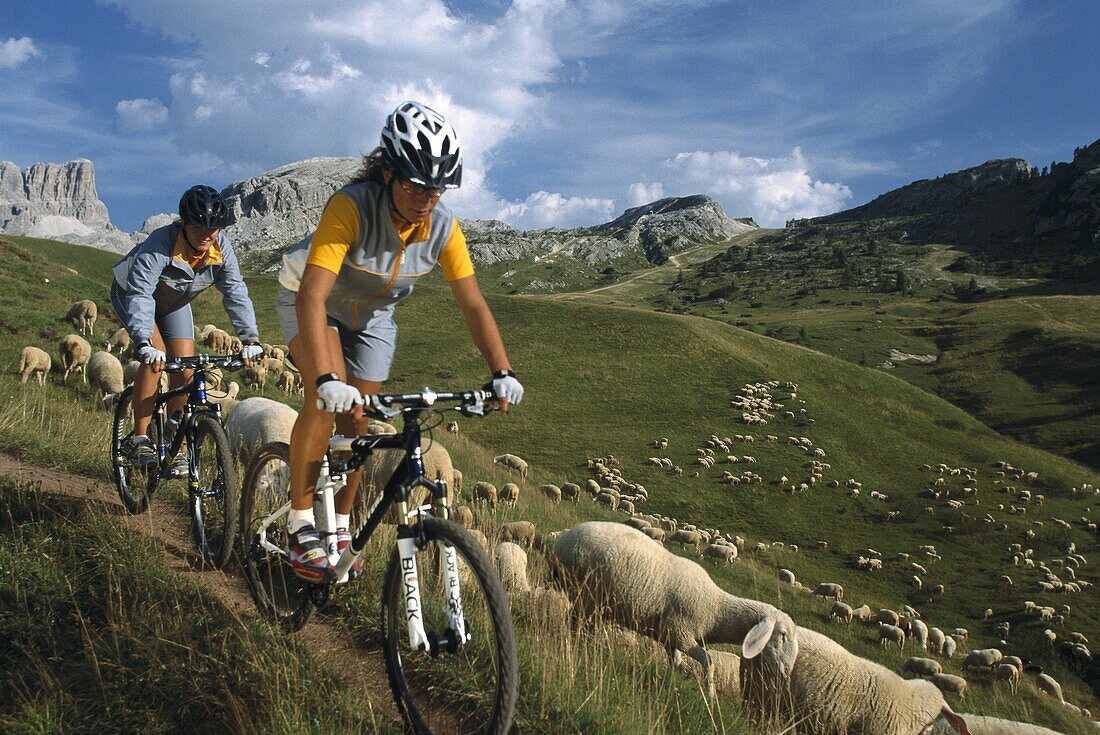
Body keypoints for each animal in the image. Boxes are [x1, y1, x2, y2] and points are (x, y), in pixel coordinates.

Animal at [554, 521, 796, 695]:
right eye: (782, 634)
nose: (786, 673)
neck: (716, 609)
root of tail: (561, 543)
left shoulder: (670, 640)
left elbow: (678, 666)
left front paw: (676, 684)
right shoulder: (681, 633)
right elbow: (708, 662)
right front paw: (710, 695)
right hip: (586, 595)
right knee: (575, 624)